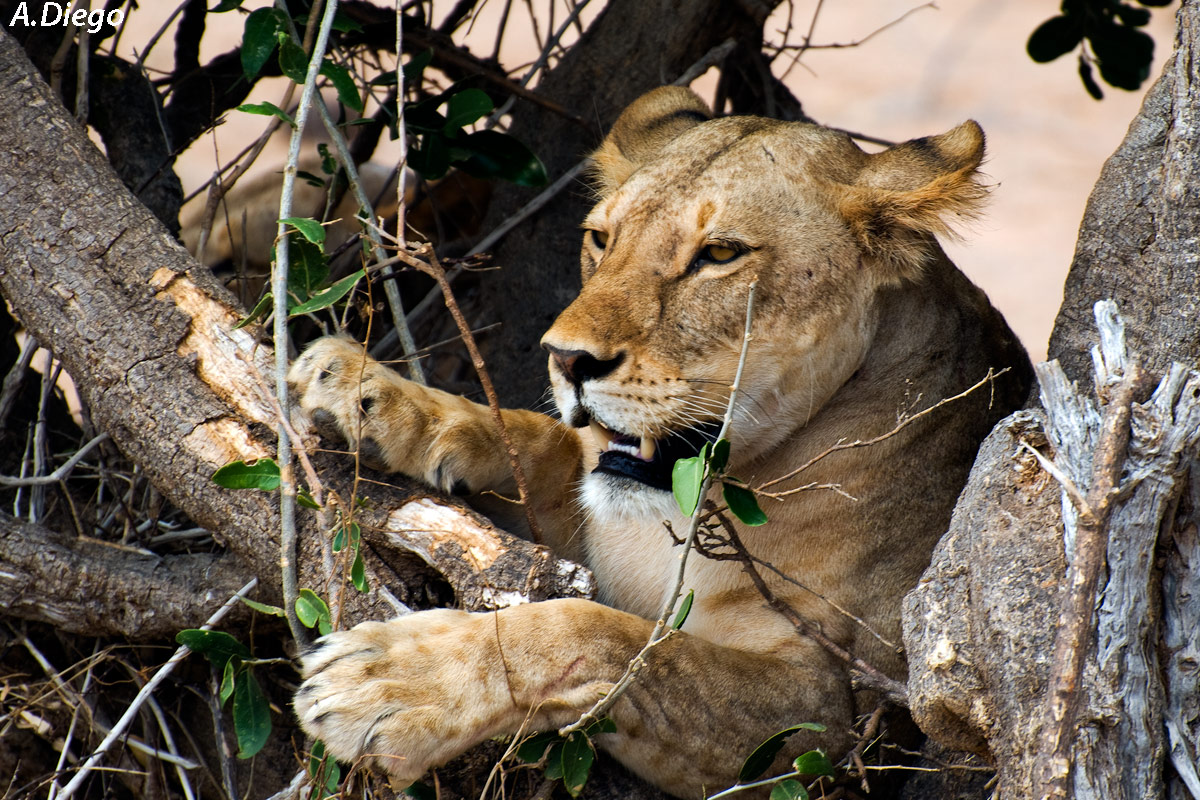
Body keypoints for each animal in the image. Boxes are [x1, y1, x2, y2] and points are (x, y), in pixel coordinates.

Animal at [288, 86, 1032, 797]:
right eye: (600, 237)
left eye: (720, 255)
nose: (566, 360)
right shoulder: (595, 525)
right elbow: (538, 441)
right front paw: (359, 389)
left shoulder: (832, 716)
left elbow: (605, 635)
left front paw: (390, 682)